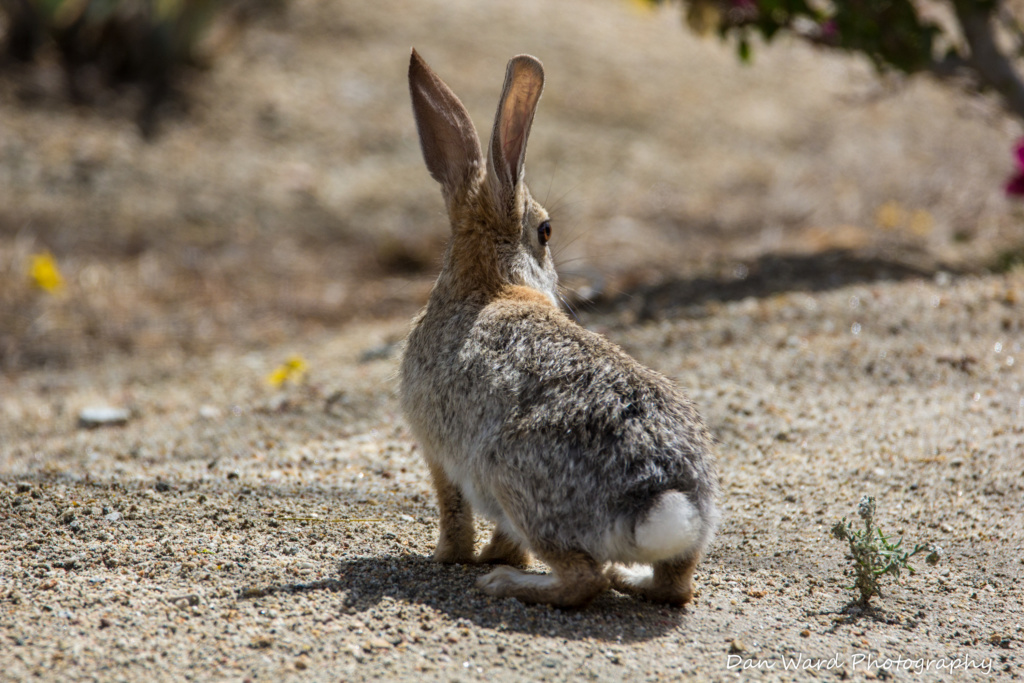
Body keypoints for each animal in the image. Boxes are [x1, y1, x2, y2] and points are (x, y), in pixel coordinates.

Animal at [399, 49, 720, 610]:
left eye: (545, 230)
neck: (492, 284)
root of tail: (660, 501)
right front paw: (493, 556)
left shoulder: (438, 455)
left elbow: (454, 514)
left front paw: (452, 558)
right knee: (674, 587)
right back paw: (629, 579)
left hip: (514, 481)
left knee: (582, 579)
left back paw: (508, 584)